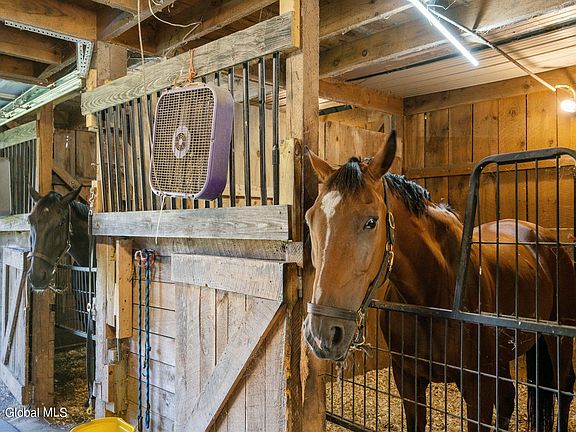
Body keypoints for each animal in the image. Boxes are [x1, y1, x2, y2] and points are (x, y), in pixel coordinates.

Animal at [303, 131, 576, 432]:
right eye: (310, 219)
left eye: (371, 222)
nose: (321, 334)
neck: (434, 290)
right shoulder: (407, 380)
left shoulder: (477, 387)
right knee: (508, 398)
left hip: (559, 341)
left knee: (563, 388)